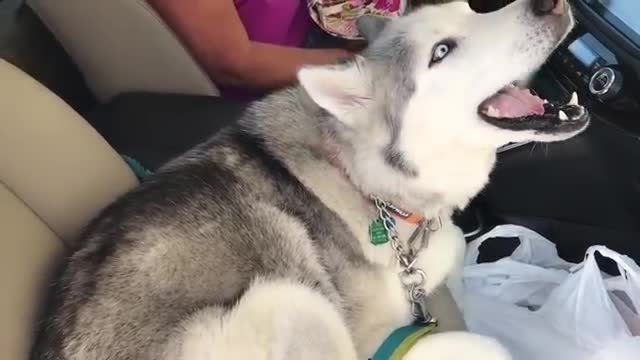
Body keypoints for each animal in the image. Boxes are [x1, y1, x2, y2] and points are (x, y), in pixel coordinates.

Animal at [32, 0, 588, 360]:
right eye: (442, 51)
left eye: (473, 7)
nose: (547, 2)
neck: (371, 184)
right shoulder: (374, 335)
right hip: (291, 299)